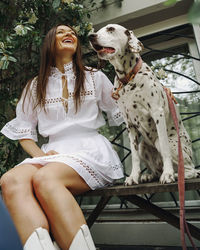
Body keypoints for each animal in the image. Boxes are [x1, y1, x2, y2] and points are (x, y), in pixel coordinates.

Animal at [89, 23, 200, 186]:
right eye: (98, 30)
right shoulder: (129, 124)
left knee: (190, 169)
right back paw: (149, 175)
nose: (91, 36)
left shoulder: (157, 113)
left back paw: (177, 174)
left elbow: (165, 150)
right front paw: (133, 176)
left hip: (171, 146)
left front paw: (168, 174)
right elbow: (134, 156)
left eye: (110, 29)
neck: (128, 79)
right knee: (155, 169)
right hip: (143, 147)